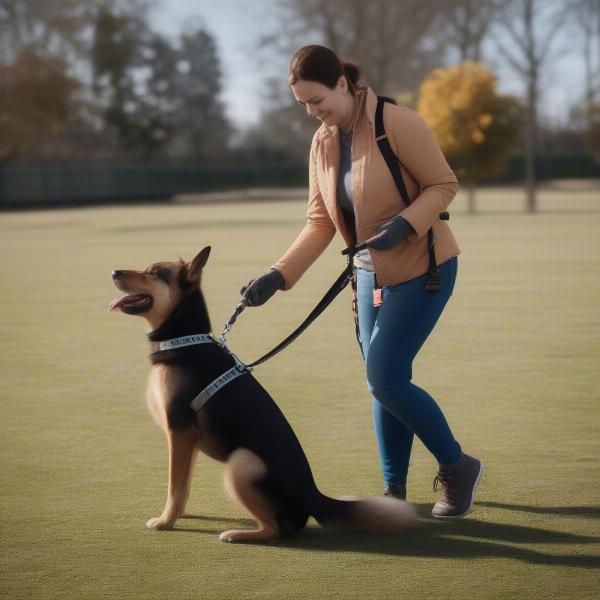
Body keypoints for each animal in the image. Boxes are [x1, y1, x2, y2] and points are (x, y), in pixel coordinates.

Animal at [110, 246, 414, 540]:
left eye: (153, 272)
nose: (113, 272)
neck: (183, 340)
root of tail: (313, 496)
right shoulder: (187, 439)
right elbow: (182, 485)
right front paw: (177, 515)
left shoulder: (179, 431)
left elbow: (174, 485)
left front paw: (165, 521)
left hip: (242, 462)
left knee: (276, 529)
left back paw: (237, 534)